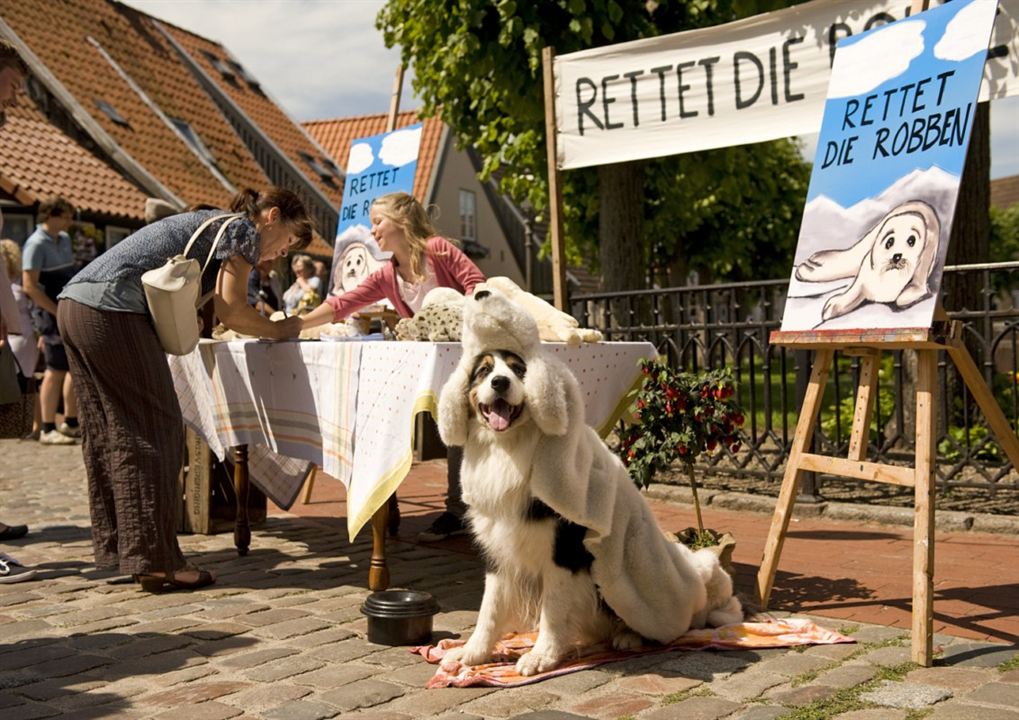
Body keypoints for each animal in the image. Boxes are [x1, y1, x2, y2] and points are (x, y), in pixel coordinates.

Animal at [436, 287, 741, 676]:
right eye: (483, 371)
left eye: (520, 370)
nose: (500, 383)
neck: (510, 448)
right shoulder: (497, 545)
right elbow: (490, 607)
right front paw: (472, 653)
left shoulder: (565, 548)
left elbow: (553, 608)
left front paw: (542, 655)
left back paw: (628, 637)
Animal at [794, 199, 937, 321]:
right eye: (889, 242)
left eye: (911, 240)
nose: (897, 256)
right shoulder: (864, 279)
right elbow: (852, 293)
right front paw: (831, 307)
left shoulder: (922, 269)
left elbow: (908, 295)